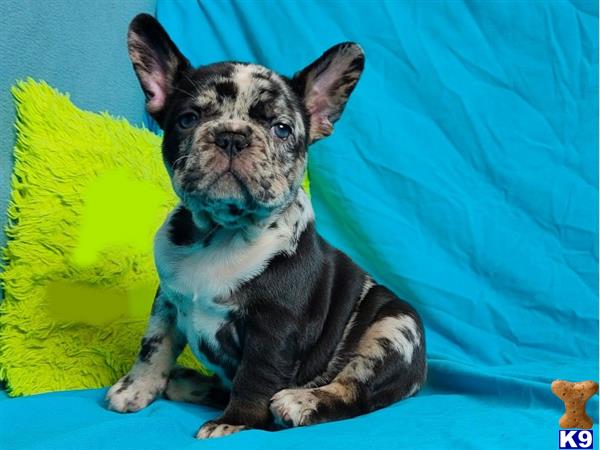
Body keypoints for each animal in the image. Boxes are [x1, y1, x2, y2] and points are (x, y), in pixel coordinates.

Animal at [108, 13, 426, 440]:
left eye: (281, 129)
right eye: (188, 119)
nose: (231, 136)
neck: (221, 231)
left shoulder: (275, 328)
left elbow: (255, 377)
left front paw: (235, 422)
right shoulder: (167, 301)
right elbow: (154, 345)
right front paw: (137, 388)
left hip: (394, 328)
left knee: (354, 390)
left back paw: (301, 402)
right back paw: (189, 383)